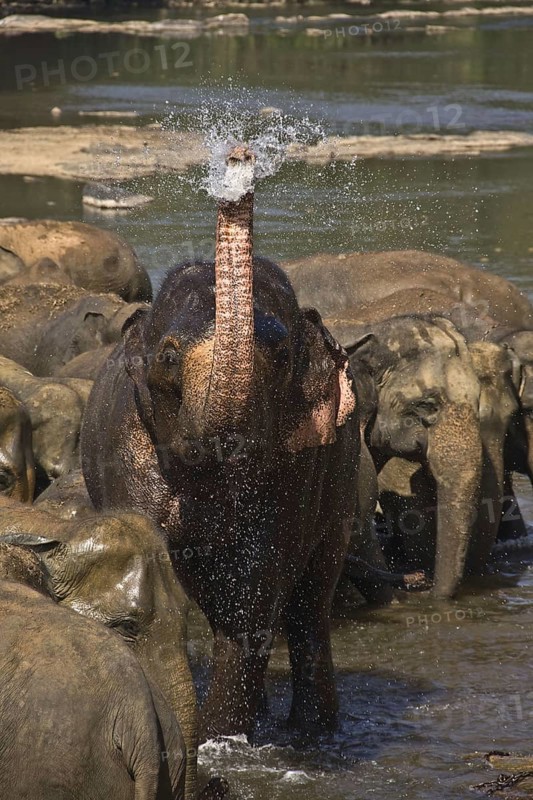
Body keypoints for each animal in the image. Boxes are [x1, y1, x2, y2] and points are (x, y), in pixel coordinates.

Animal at [82, 145, 363, 740]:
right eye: (168, 356)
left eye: (280, 355)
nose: (240, 154)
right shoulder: (126, 445)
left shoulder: (300, 467)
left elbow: (255, 590)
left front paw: (220, 739)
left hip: (343, 481)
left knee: (311, 603)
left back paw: (311, 733)